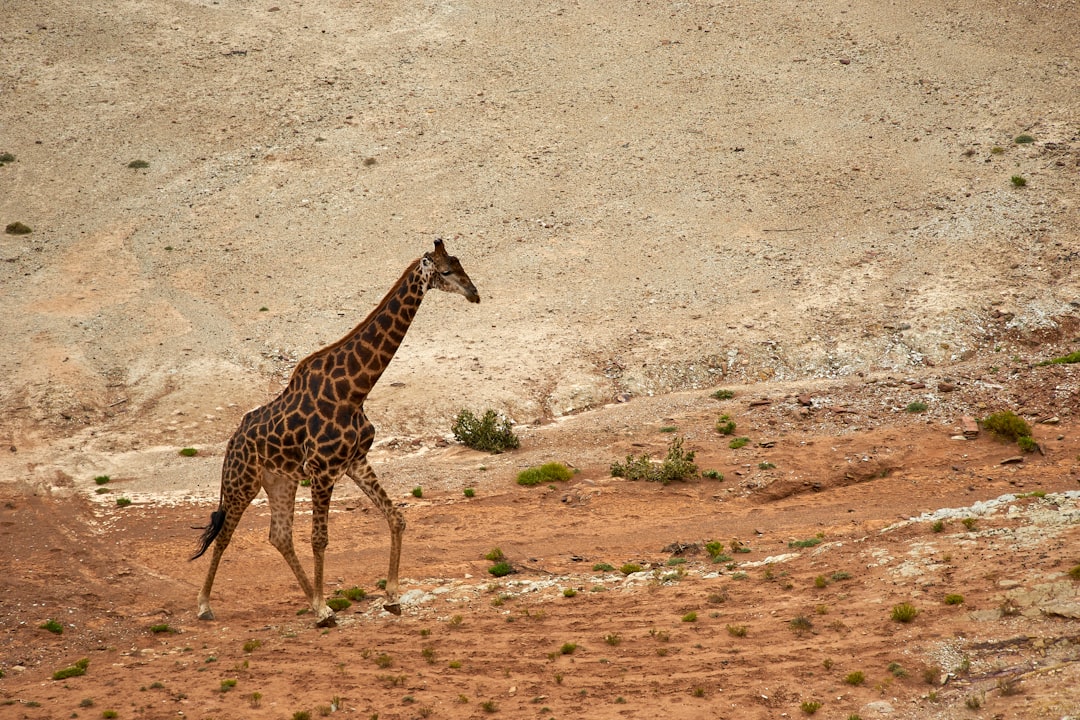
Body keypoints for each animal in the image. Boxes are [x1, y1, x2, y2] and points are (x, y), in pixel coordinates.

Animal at [192, 239, 479, 626]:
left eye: (460, 264)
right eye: (446, 270)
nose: (474, 293)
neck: (354, 390)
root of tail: (231, 441)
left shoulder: (355, 461)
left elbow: (397, 518)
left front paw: (390, 598)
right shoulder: (323, 470)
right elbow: (320, 539)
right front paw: (326, 605)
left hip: (279, 480)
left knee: (279, 536)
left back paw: (312, 602)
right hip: (242, 481)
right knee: (224, 535)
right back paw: (206, 605)